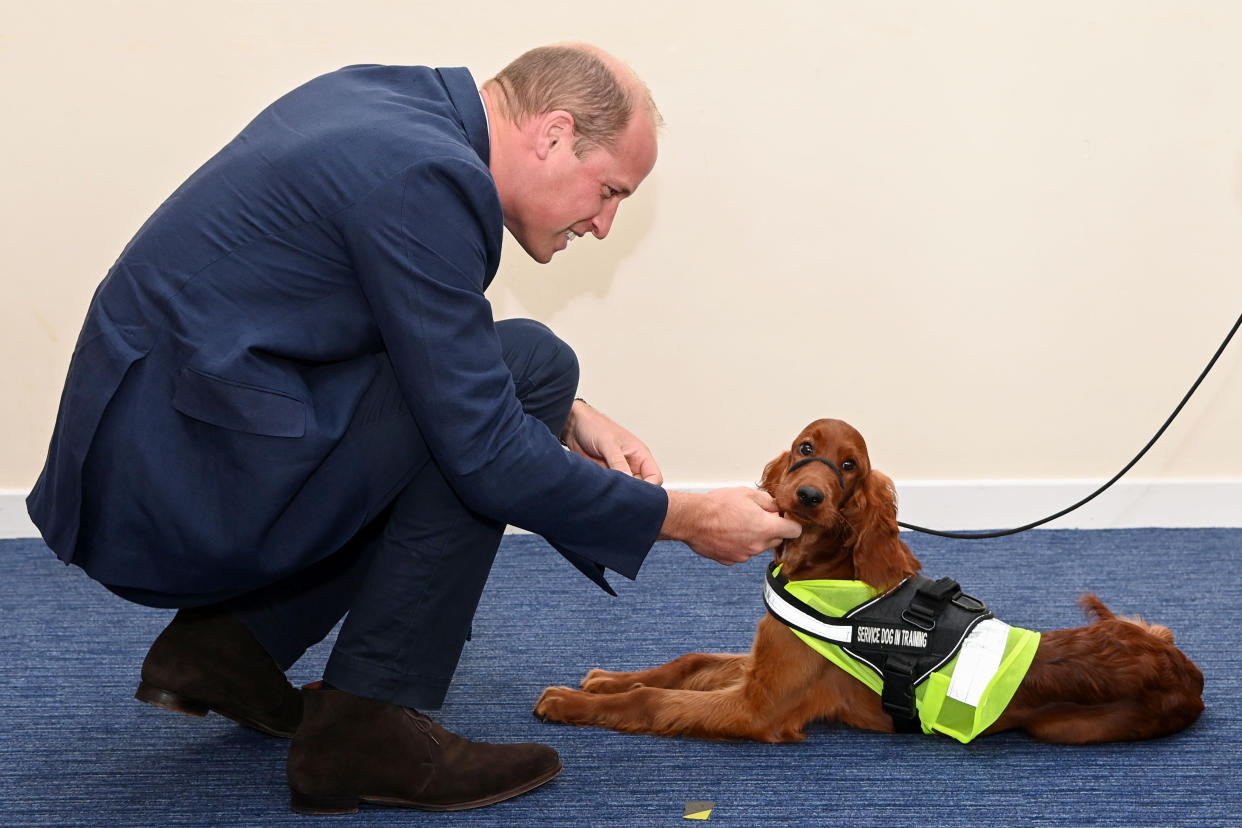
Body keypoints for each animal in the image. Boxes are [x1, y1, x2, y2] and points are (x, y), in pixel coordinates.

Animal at [534, 422, 1202, 744]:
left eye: (849, 466)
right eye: (805, 448)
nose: (808, 495)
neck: (822, 567)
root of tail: (1183, 669)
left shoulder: (759, 707)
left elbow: (653, 701)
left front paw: (570, 701)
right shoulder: (762, 664)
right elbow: (687, 662)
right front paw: (604, 679)